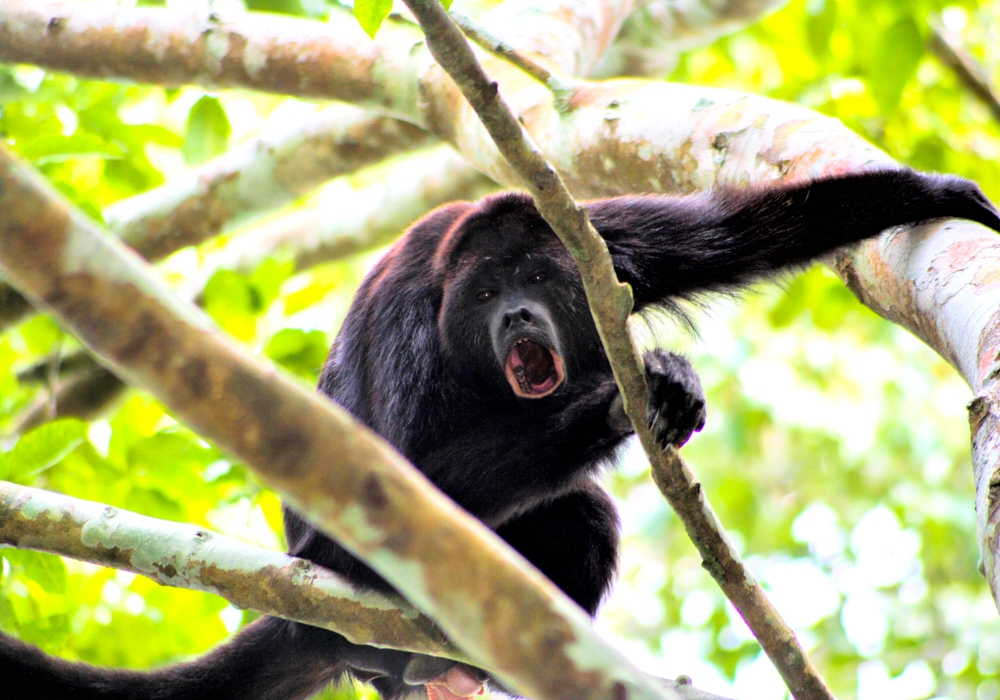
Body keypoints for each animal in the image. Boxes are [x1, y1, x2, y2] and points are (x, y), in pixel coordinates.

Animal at [1, 170, 1000, 700]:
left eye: (538, 278)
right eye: (485, 293)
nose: (518, 314)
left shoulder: (600, 240)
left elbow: (744, 227)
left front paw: (939, 191)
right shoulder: (409, 319)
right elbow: (392, 484)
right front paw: (624, 400)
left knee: (586, 521)